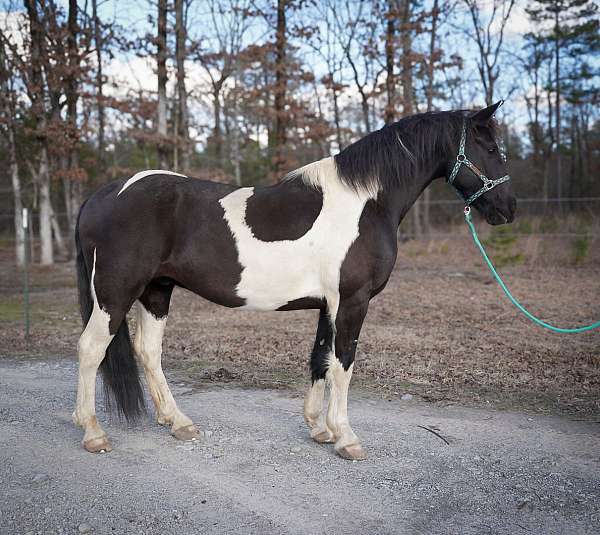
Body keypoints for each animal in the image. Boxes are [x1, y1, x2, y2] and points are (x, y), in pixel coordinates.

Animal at [74, 101, 516, 460]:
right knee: (92, 348)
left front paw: (320, 429)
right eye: (491, 149)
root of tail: (103, 195)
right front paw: (346, 438)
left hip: (156, 292)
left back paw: (178, 422)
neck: (366, 203)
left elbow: (320, 359)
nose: (508, 208)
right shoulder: (353, 301)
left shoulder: (328, 305)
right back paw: (93, 433)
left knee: (149, 352)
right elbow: (343, 363)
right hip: (116, 293)